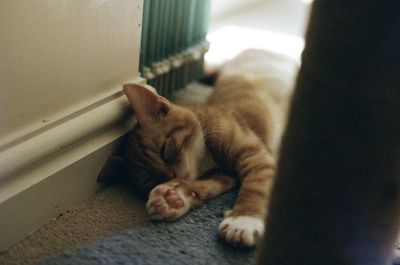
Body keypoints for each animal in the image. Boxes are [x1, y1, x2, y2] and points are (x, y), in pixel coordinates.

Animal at [120, 49, 296, 245]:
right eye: (151, 180)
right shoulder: (224, 176)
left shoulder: (256, 157)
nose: (170, 176)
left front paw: (244, 219)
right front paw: (172, 198)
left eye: (165, 150)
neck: (206, 158)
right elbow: (206, 186)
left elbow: (255, 186)